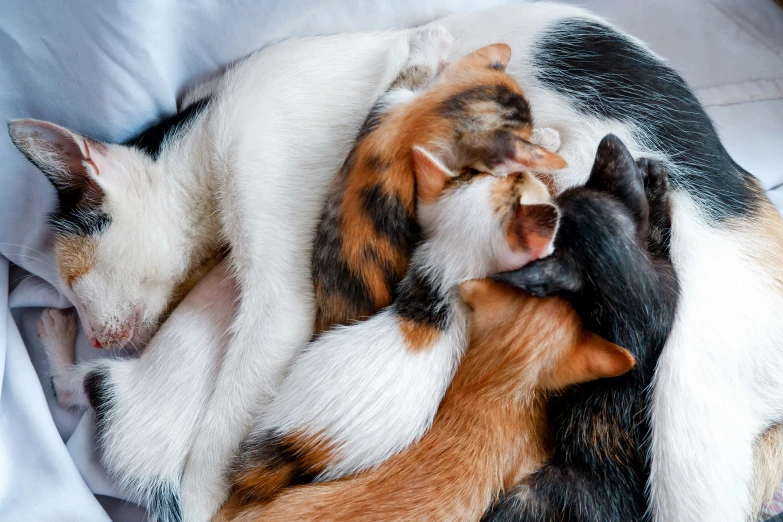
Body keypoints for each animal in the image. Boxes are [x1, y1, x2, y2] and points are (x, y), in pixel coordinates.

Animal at [486, 135, 684, 520]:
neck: (630, 293)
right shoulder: (664, 273)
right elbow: (654, 231)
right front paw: (652, 180)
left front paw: (653, 180)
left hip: (529, 495)